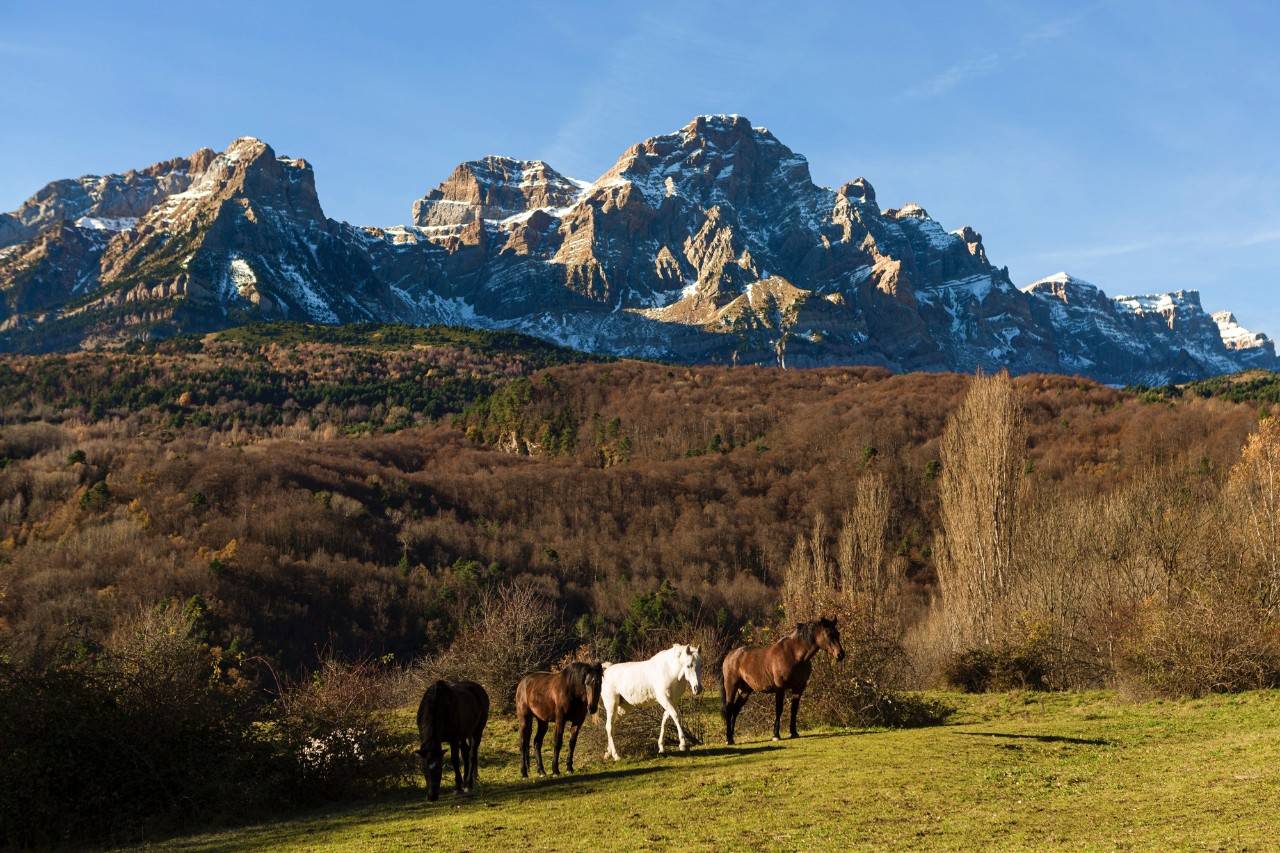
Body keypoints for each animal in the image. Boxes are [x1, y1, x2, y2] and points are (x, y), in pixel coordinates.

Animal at [727, 612, 844, 742]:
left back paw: (732, 737)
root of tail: (730, 655)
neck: (794, 655)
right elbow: (779, 709)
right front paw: (775, 735)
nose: (840, 654)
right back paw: (728, 739)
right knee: (729, 709)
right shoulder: (780, 688)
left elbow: (794, 709)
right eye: (828, 634)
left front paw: (794, 732)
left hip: (745, 691)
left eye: (838, 633)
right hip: (731, 688)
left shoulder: (798, 688)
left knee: (735, 710)